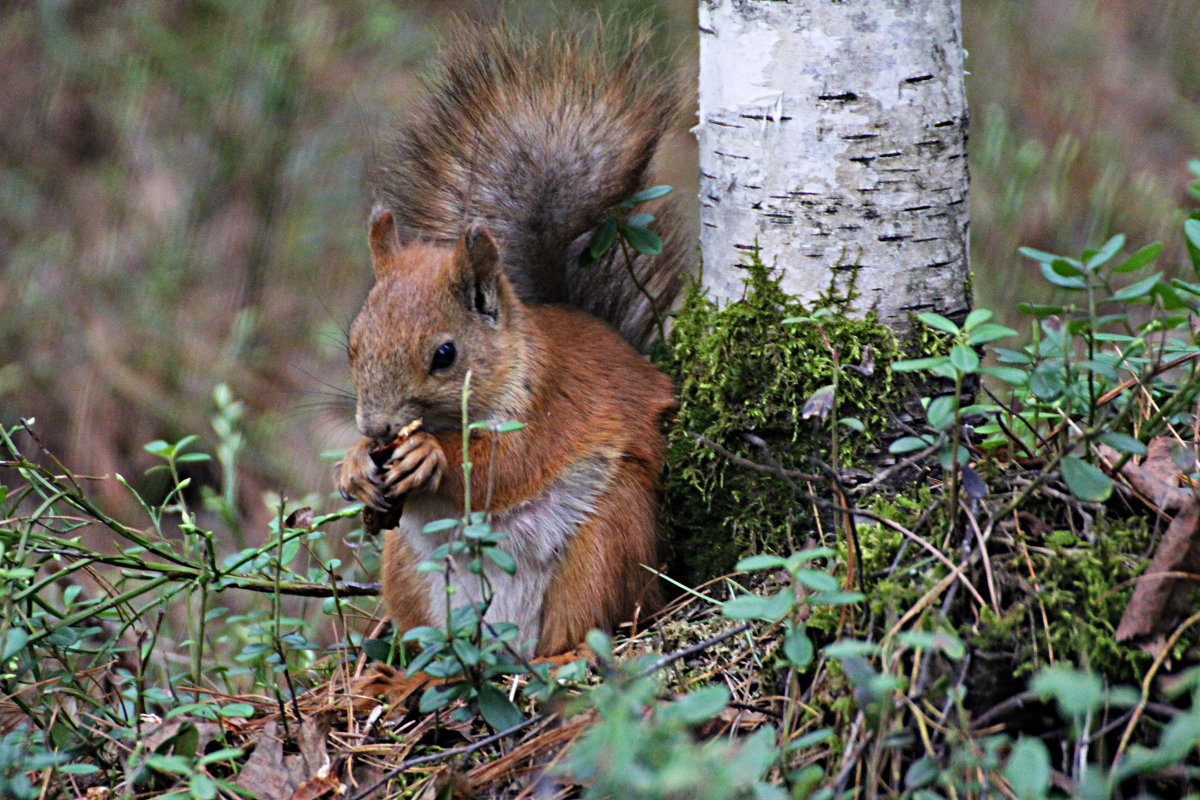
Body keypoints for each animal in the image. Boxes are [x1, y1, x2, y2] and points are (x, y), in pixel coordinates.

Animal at [333, 25, 691, 657]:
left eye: (445, 355)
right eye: (353, 345)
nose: (375, 428)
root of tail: (506, 645)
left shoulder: (551, 402)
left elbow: (507, 464)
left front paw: (430, 456)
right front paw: (353, 465)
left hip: (607, 538)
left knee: (589, 623)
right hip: (407, 573)